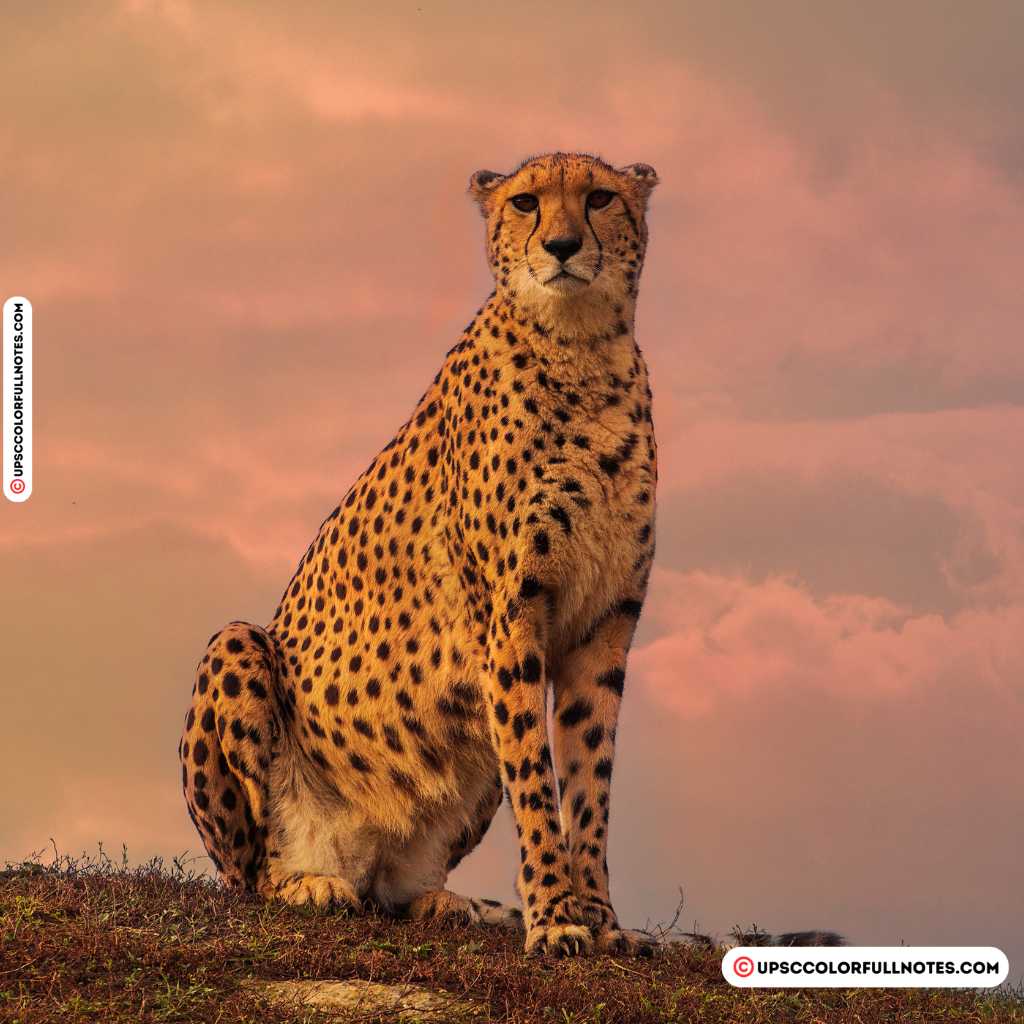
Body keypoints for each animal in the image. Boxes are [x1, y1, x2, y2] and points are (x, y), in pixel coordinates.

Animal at [179, 151, 662, 957]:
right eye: (526, 202)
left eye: (599, 198)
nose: (562, 247)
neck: (582, 348)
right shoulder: (512, 620)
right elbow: (538, 779)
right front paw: (556, 919)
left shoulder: (605, 625)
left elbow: (587, 782)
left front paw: (601, 920)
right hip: (238, 646)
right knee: (248, 873)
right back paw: (306, 883)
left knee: (396, 889)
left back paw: (439, 900)